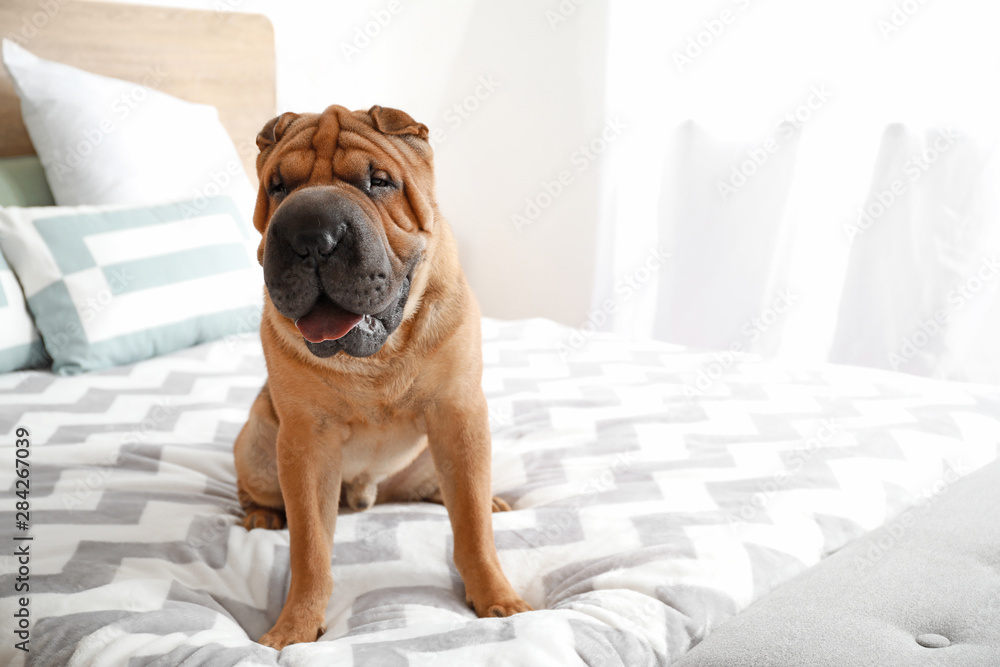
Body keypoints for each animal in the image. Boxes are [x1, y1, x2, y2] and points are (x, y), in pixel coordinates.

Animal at [234, 105, 532, 652]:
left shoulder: (459, 415)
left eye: (379, 182)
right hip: (259, 442)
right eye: (278, 186)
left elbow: (472, 529)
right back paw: (262, 514)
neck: (378, 357)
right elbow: (309, 548)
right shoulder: (306, 442)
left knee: (451, 492)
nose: (311, 235)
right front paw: (293, 628)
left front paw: (498, 598)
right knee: (258, 490)